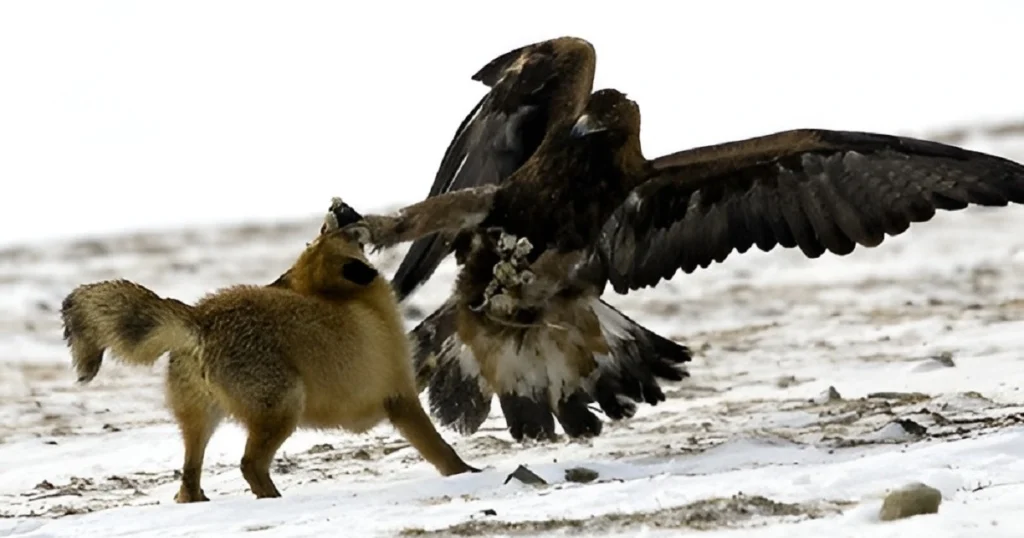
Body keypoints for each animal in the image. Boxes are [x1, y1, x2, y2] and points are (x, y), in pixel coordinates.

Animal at [58, 198, 479, 502]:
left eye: (319, 231)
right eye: (332, 231)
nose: (338, 204)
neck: (351, 301)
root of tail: (200, 317)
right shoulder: (398, 397)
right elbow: (441, 451)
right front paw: (469, 475)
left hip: (200, 422)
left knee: (188, 481)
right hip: (283, 407)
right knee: (249, 466)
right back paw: (275, 499)